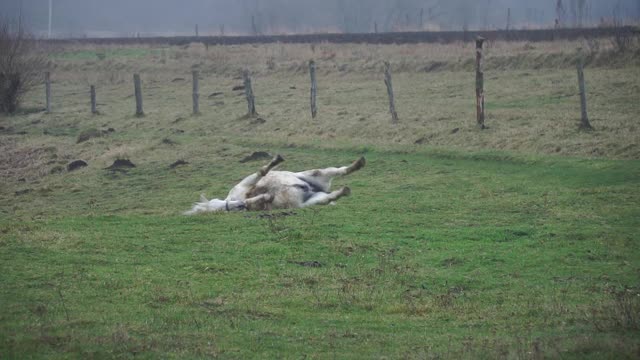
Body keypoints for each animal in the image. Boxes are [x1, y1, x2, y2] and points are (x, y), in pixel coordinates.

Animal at [184, 155, 364, 214]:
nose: (240, 206)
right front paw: (265, 197)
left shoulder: (246, 184)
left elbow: (260, 172)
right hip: (310, 200)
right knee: (329, 195)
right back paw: (345, 188)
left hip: (310, 174)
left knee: (337, 171)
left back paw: (359, 163)